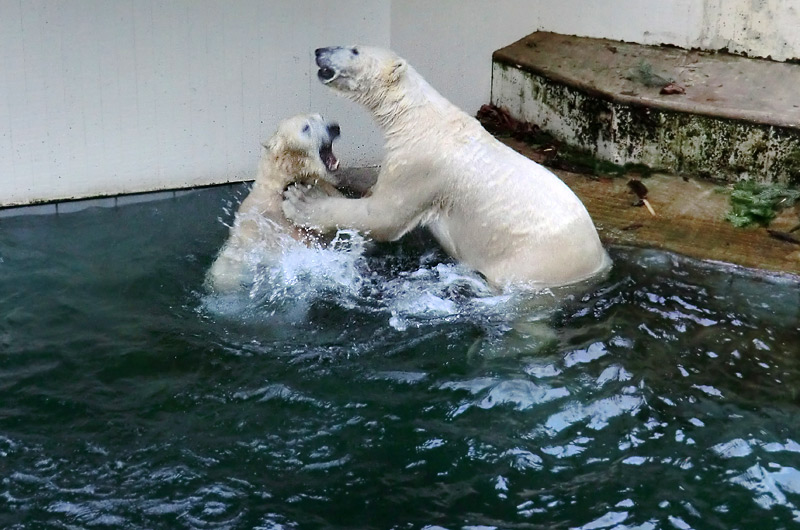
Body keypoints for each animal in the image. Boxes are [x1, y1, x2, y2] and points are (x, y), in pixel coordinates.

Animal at [284, 45, 608, 288]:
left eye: (354, 50)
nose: (319, 50)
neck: (417, 118)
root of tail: (596, 263)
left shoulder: (423, 165)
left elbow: (383, 215)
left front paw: (303, 200)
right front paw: (344, 174)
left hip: (534, 263)